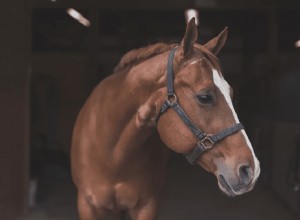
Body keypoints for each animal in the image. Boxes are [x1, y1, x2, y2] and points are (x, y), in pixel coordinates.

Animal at [71, 18, 260, 219]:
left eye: (231, 93)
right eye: (204, 97)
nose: (251, 170)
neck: (113, 156)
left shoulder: (147, 205)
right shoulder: (87, 206)